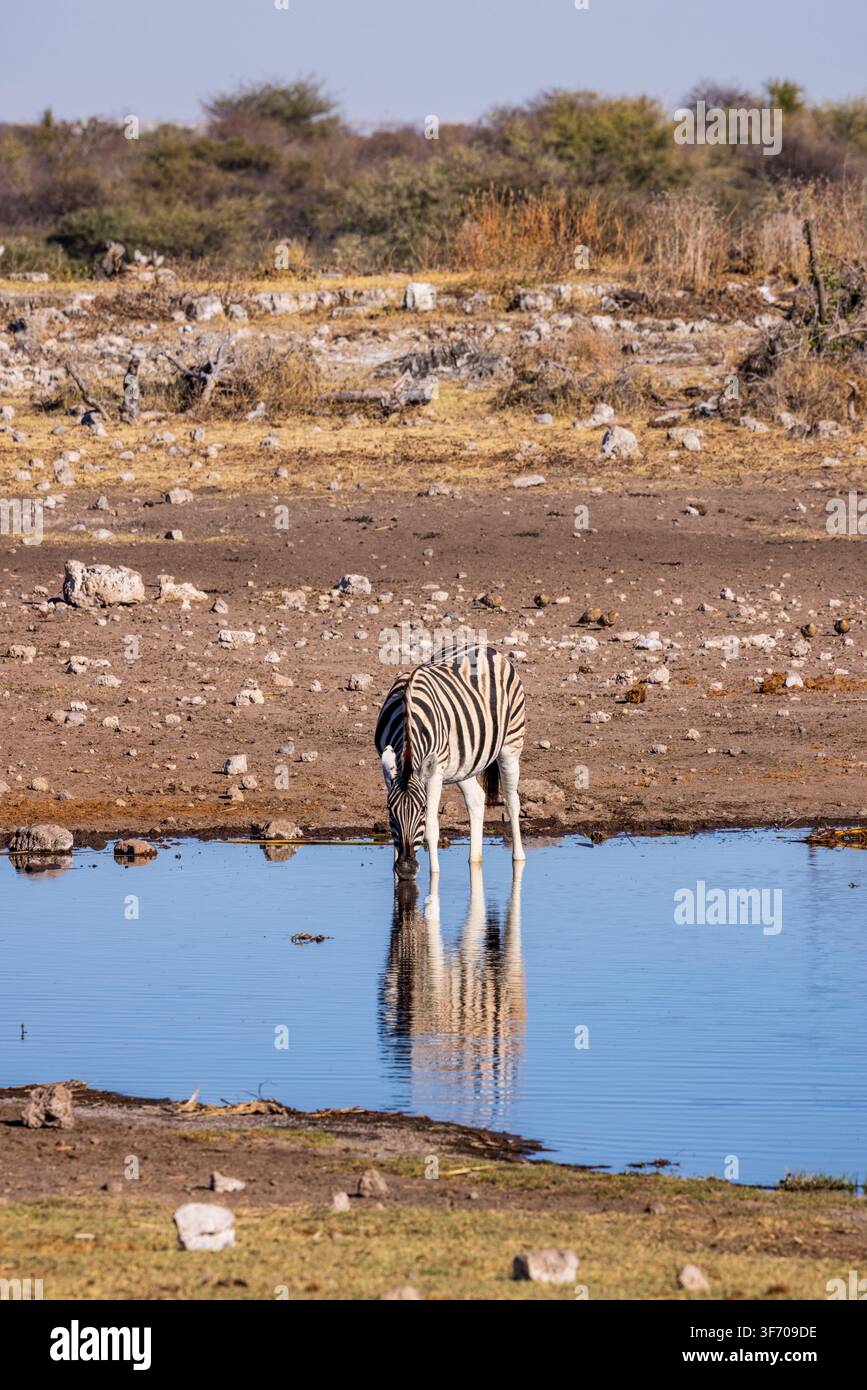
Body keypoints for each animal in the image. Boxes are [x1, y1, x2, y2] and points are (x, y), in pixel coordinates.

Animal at [375, 646, 526, 879]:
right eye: (390, 810)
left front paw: (434, 877)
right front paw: (397, 878)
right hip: (463, 763)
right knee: (476, 798)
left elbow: (431, 829)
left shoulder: (435, 773)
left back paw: (518, 858)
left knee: (511, 801)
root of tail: (485, 647)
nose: (407, 869)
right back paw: (475, 860)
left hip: (510, 743)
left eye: (422, 809)